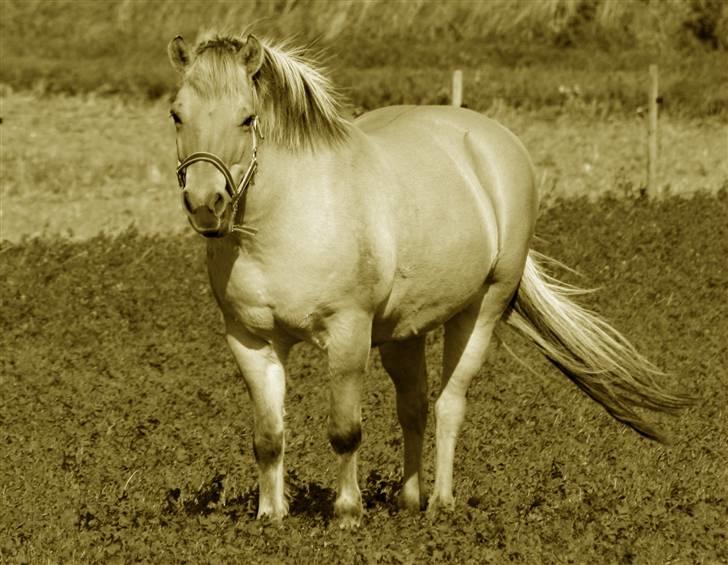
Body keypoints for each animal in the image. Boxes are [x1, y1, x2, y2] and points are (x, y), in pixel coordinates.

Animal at [165, 33, 688, 528]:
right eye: (176, 115)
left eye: (247, 118)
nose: (205, 204)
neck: (286, 218)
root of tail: (494, 141)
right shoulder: (251, 340)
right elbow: (269, 437)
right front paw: (270, 516)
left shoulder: (348, 335)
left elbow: (345, 431)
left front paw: (348, 513)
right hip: (403, 333)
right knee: (413, 406)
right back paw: (407, 499)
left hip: (480, 312)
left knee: (448, 405)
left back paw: (440, 503)